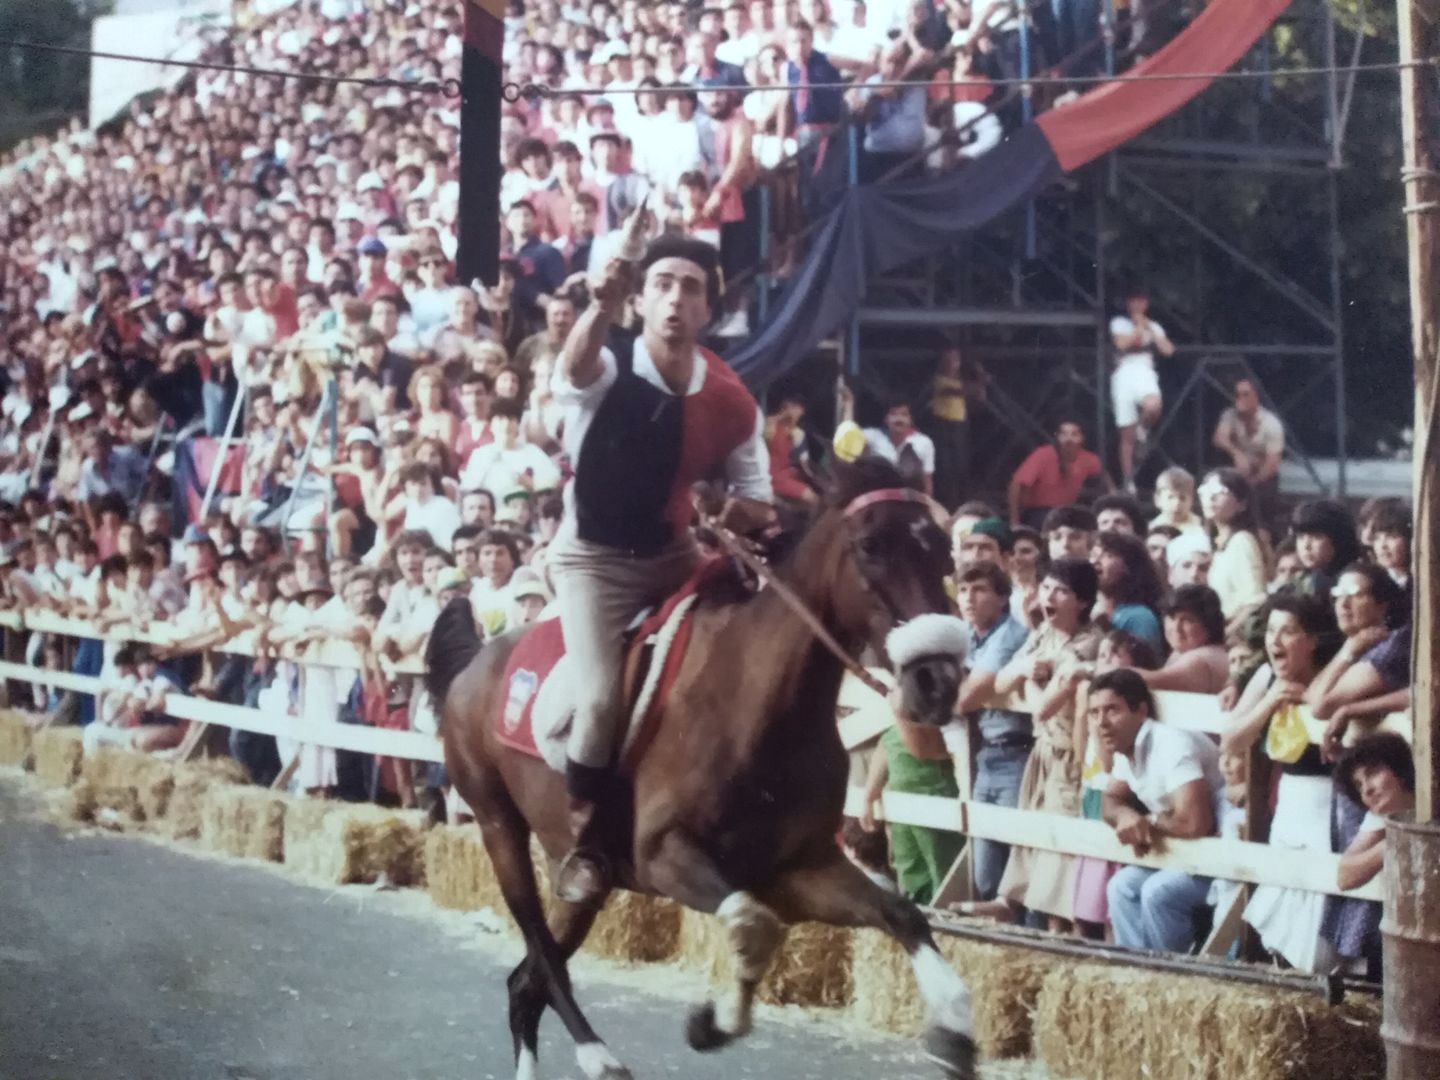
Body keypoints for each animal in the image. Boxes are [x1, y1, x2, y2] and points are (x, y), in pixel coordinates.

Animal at [425, 458, 977, 1080]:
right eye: (870, 545)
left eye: (944, 553)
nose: (937, 681)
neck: (760, 704)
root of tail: (475, 664)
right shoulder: (666, 856)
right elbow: (753, 923)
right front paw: (715, 1021)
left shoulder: (800, 869)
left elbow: (901, 913)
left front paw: (953, 1031)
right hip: (501, 830)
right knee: (540, 956)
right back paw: (598, 1055)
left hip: (578, 878)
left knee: (526, 984)